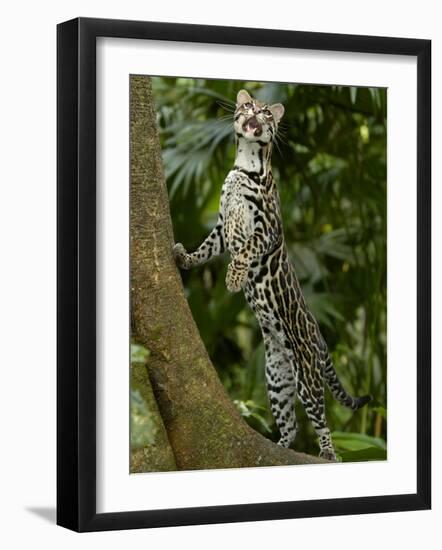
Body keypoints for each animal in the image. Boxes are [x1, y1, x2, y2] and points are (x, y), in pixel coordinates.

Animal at [173, 90, 370, 462]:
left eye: (266, 112)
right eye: (248, 106)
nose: (255, 112)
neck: (246, 164)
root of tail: (319, 336)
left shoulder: (267, 229)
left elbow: (245, 251)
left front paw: (234, 279)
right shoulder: (221, 227)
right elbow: (205, 248)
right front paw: (184, 257)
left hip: (306, 376)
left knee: (321, 420)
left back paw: (328, 452)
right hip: (277, 379)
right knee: (290, 426)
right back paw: (277, 447)